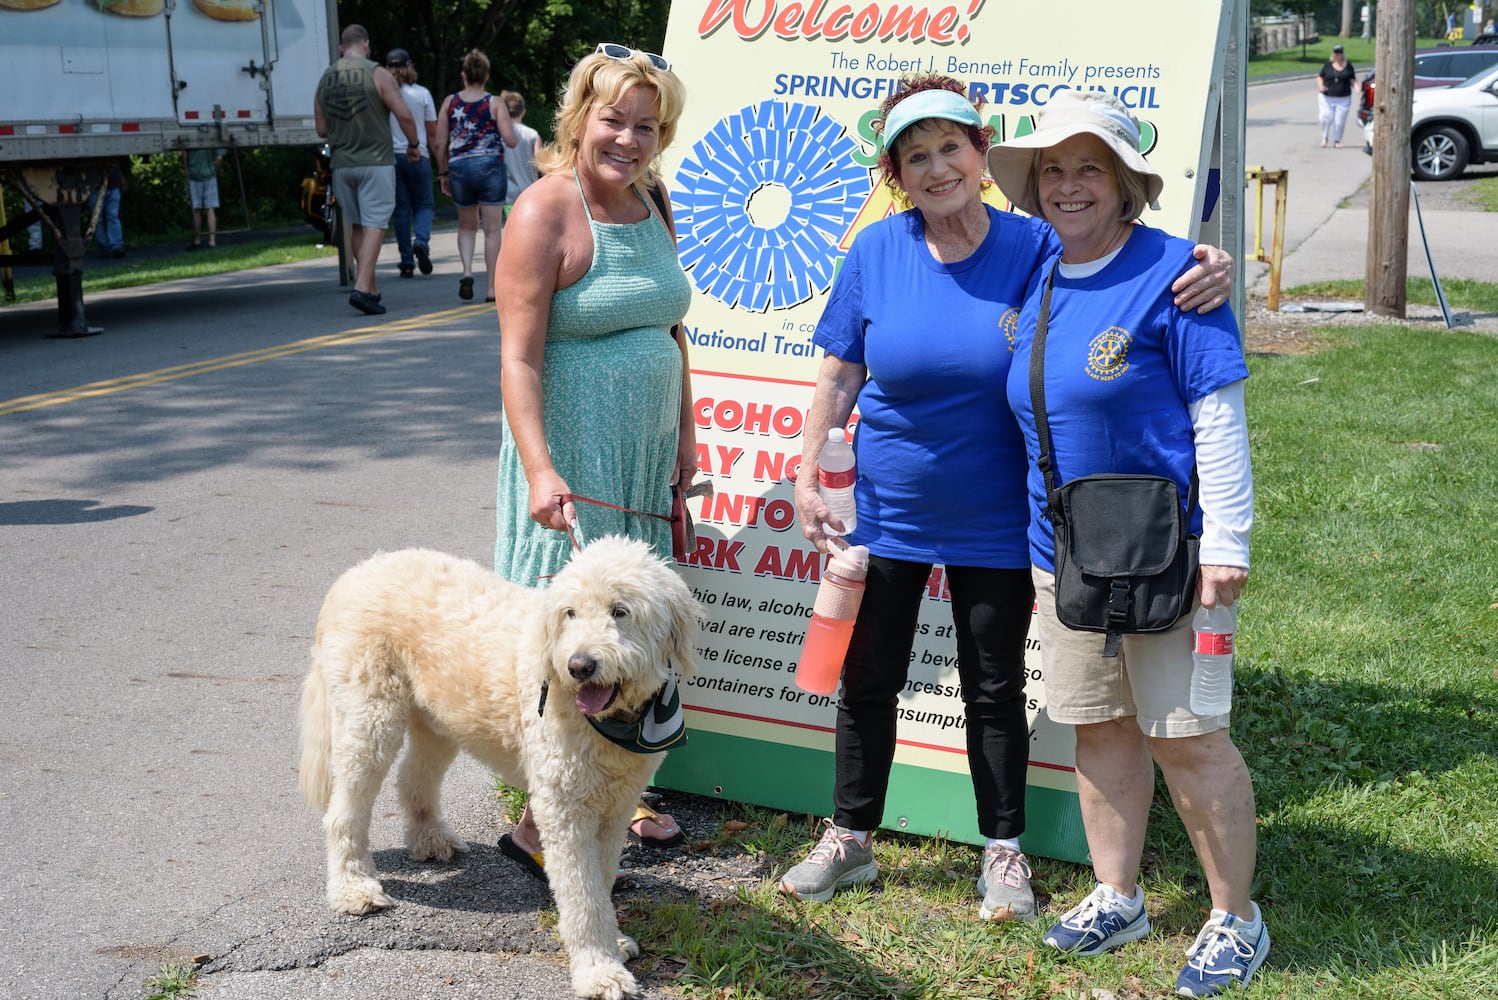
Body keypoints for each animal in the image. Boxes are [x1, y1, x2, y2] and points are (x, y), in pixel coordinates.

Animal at [299, 538, 707, 999]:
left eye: (620, 611)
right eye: (570, 612)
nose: (579, 665)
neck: (611, 724)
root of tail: (355, 572)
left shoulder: (616, 807)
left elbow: (601, 879)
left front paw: (613, 943)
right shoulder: (564, 809)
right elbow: (583, 895)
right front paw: (599, 970)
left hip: (440, 719)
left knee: (413, 778)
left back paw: (431, 839)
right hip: (370, 716)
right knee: (344, 810)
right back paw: (354, 888)